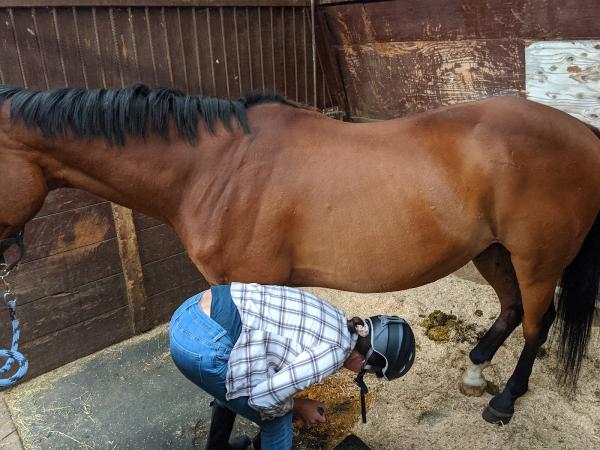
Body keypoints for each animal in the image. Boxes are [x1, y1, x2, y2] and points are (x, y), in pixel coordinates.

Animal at [0, 85, 596, 426]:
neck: (215, 166)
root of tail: (584, 133)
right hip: (491, 250)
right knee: (512, 310)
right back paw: (476, 370)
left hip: (537, 259)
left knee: (538, 324)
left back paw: (504, 401)